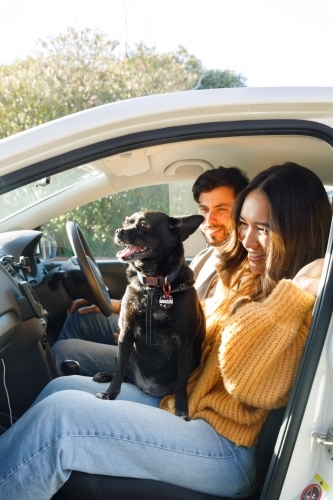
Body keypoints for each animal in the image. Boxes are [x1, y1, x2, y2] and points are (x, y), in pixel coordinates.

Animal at [93, 209, 205, 420]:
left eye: (144, 225)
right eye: (126, 222)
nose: (119, 231)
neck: (154, 286)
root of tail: (147, 387)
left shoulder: (184, 345)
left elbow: (181, 385)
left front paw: (181, 410)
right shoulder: (126, 333)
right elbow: (119, 371)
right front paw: (110, 393)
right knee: (123, 371)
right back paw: (104, 375)